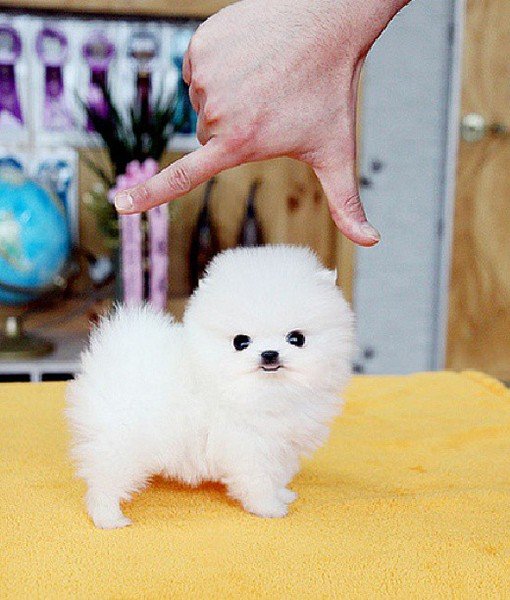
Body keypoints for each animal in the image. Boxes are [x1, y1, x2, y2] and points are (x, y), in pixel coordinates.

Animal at [65, 246, 354, 528]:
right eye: (240, 342)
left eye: (297, 338)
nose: (269, 354)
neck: (262, 391)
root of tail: (113, 355)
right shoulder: (246, 445)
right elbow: (258, 480)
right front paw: (269, 508)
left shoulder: (282, 445)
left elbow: (276, 474)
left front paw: (282, 494)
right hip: (122, 442)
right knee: (104, 482)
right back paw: (109, 518)